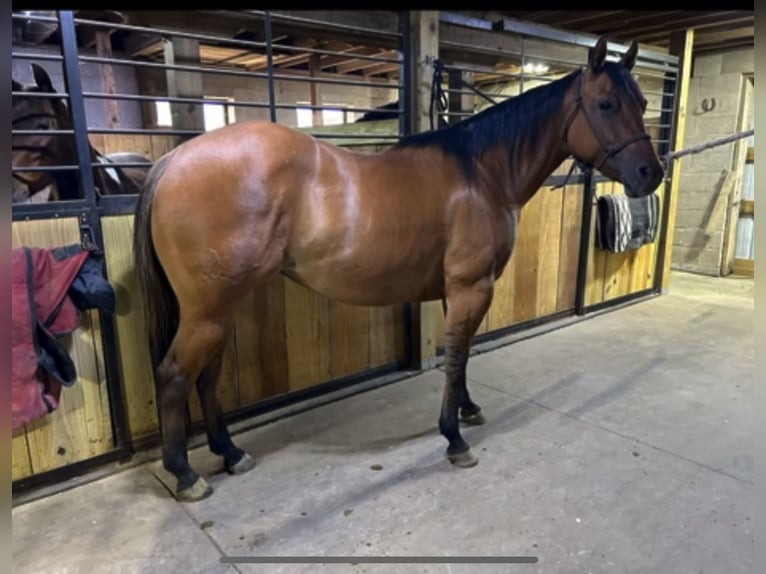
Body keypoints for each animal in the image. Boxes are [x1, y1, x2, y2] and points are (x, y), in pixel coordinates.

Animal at [134, 37, 664, 504]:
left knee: (206, 375)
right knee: (174, 375)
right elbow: (456, 355)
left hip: (220, 308)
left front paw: (468, 410)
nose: (650, 175)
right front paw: (454, 438)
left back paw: (230, 452)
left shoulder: (458, 290)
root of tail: (173, 160)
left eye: (641, 101)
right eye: (606, 104)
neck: (481, 173)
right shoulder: (471, 288)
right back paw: (185, 474)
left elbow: (461, 355)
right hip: (208, 310)